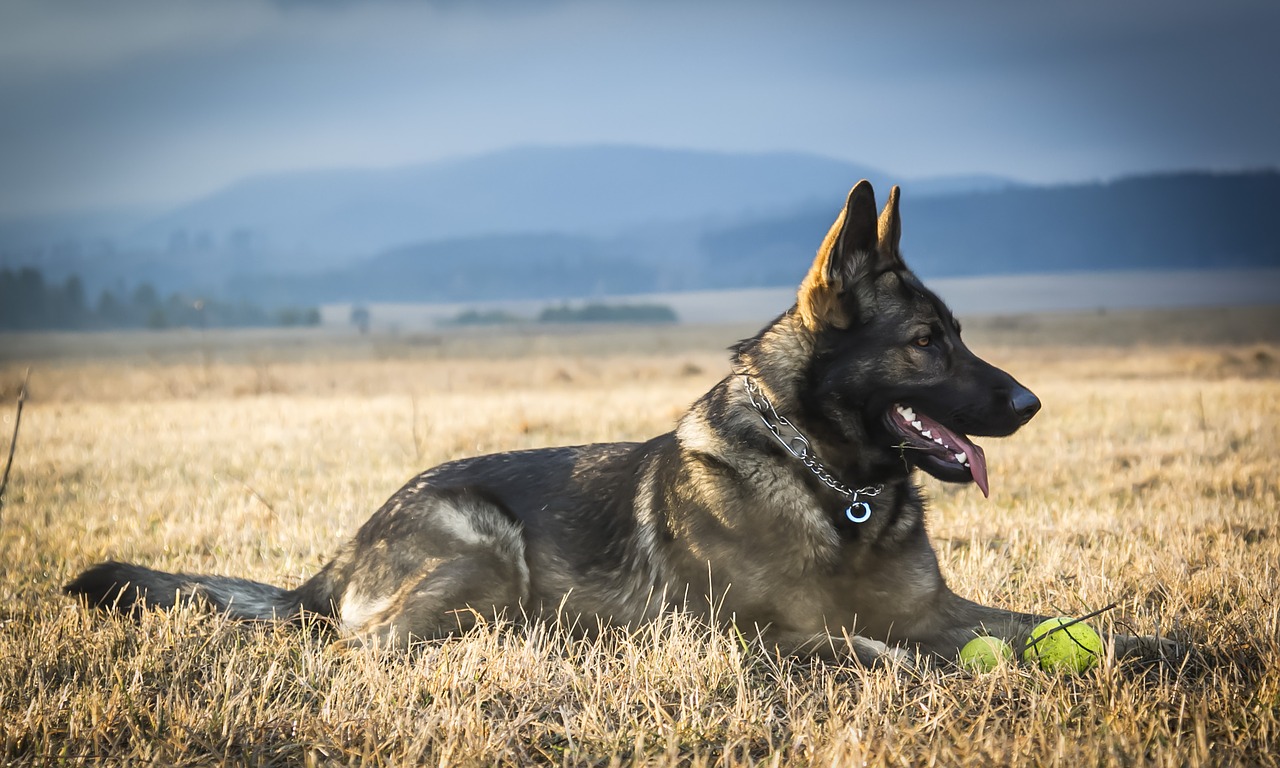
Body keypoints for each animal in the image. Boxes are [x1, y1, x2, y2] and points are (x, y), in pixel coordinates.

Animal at [67, 181, 1172, 665]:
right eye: (924, 342)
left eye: (960, 334)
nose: (1029, 404)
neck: (829, 486)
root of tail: (340, 555)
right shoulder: (766, 636)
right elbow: (886, 653)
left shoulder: (937, 607)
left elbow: (1051, 624)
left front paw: (1164, 648)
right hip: (485, 559)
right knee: (360, 649)